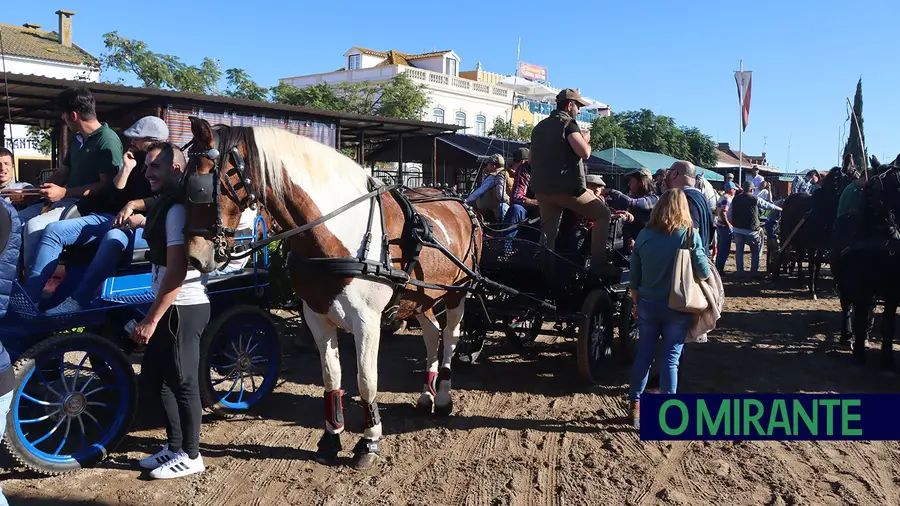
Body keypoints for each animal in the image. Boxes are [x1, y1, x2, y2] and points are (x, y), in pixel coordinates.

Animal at [178, 116, 482, 468]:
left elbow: (366, 379)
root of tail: (461, 202)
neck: (338, 231)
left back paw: (443, 397)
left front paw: (369, 442)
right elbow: (331, 375)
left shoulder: (367, 321)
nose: (194, 257)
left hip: (456, 293)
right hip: (422, 297)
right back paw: (426, 393)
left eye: (200, 186)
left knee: (450, 337)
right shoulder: (317, 315)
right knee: (433, 336)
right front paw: (331, 437)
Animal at [768, 168, 856, 298]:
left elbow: (818, 263)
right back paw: (776, 277)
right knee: (783, 252)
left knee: (799, 258)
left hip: (800, 241)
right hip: (786, 235)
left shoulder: (823, 246)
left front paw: (815, 286)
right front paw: (812, 290)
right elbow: (812, 265)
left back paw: (800, 281)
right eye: (848, 177)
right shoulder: (812, 245)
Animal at [828, 156, 900, 370]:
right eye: (893, 183)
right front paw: (859, 354)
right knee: (846, 306)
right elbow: (858, 316)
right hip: (843, 282)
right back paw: (847, 336)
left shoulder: (892, 290)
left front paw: (887, 359)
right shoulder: (860, 287)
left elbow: (888, 324)